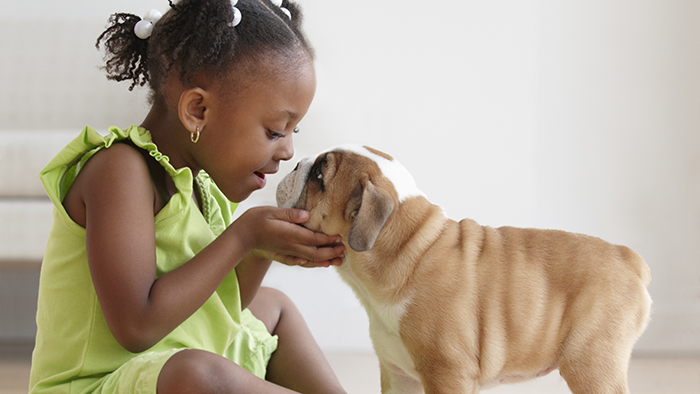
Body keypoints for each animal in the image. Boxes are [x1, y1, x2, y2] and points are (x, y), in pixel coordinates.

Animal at [276, 145, 652, 394]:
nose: (295, 164)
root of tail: (627, 256)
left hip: (591, 363)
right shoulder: (399, 376)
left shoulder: (447, 374)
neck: (408, 248)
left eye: (319, 175)